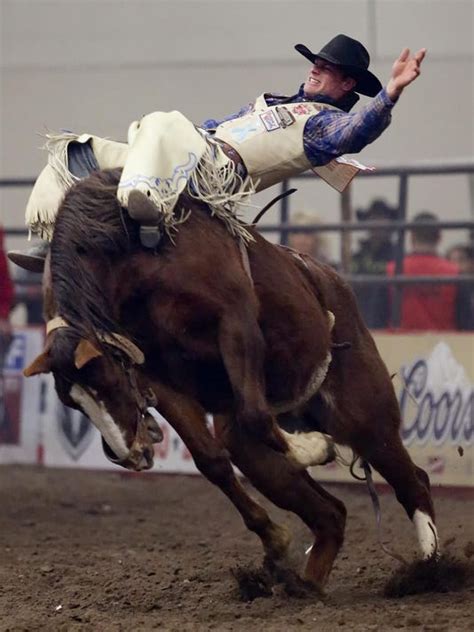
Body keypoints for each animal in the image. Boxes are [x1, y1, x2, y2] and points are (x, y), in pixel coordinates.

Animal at [25, 168, 440, 592]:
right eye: (74, 404)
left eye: (106, 381)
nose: (131, 455)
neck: (140, 261)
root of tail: (331, 281)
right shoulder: (159, 375)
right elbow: (211, 460)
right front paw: (275, 540)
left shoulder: (235, 323)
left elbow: (257, 416)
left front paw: (314, 449)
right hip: (255, 450)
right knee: (332, 512)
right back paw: (303, 585)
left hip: (365, 417)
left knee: (414, 482)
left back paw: (426, 569)